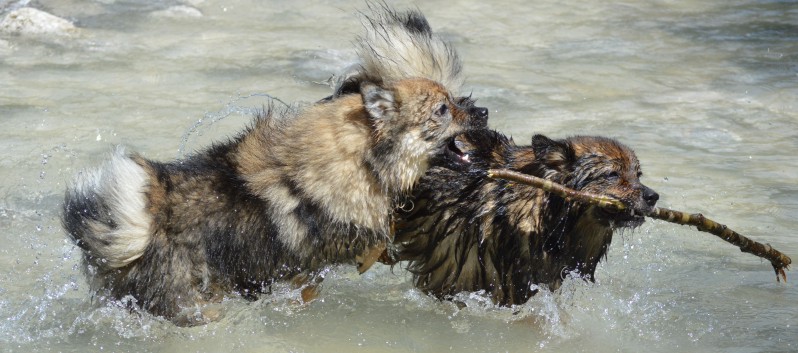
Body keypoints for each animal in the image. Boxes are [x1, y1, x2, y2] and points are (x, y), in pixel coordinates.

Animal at [62, 5, 488, 324]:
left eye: (454, 101)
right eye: (442, 110)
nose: (483, 111)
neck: (362, 159)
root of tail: (133, 233)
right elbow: (375, 239)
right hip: (194, 300)